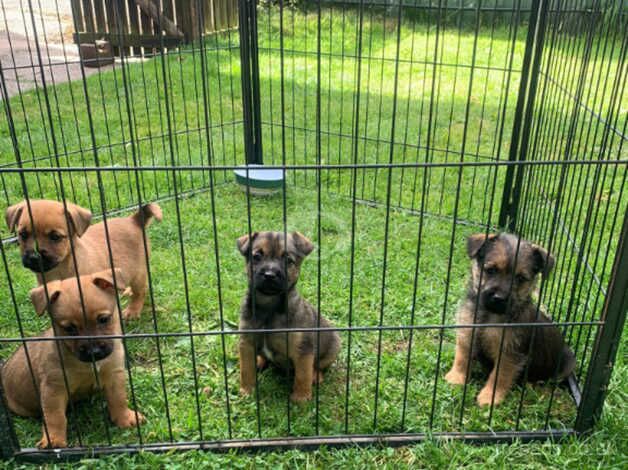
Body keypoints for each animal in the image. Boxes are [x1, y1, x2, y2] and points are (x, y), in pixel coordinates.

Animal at [0, 268, 145, 448]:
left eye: (104, 319)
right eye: (69, 328)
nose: (93, 351)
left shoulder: (114, 375)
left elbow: (119, 400)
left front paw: (125, 418)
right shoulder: (54, 389)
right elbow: (55, 418)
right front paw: (54, 439)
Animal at [5, 198, 162, 320]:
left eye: (55, 237)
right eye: (23, 234)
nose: (33, 256)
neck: (60, 270)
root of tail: (133, 220)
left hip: (138, 272)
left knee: (140, 291)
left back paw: (132, 310)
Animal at [237, 230, 344, 400]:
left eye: (288, 260)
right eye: (257, 256)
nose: (269, 274)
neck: (269, 306)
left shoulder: (303, 350)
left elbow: (302, 375)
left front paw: (301, 398)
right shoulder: (246, 342)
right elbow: (246, 370)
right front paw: (246, 391)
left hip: (334, 346)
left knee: (319, 366)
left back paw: (316, 376)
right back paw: (260, 361)